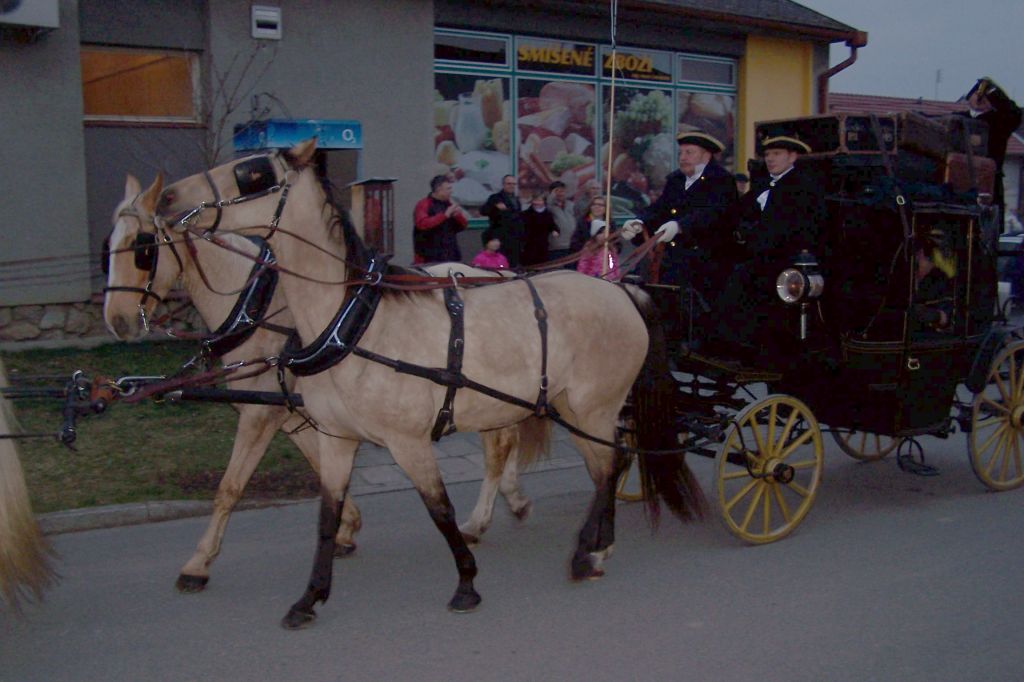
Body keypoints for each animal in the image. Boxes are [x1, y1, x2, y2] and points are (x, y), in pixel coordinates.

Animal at [103, 176, 542, 593]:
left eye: (142, 247)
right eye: (109, 245)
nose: (116, 321)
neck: (259, 310)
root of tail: (503, 272)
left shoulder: (261, 415)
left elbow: (230, 486)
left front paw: (198, 564)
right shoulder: (294, 414)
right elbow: (320, 467)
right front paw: (347, 526)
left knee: (501, 445)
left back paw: (487, 514)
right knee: (504, 441)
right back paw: (507, 503)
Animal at [155, 139, 704, 629]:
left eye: (253, 174)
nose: (167, 198)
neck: (354, 321)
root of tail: (623, 289)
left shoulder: (409, 441)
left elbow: (439, 509)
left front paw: (466, 584)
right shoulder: (337, 439)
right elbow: (327, 516)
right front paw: (309, 598)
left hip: (590, 409)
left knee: (610, 465)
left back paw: (589, 552)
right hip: (574, 409)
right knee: (609, 464)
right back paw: (593, 545)